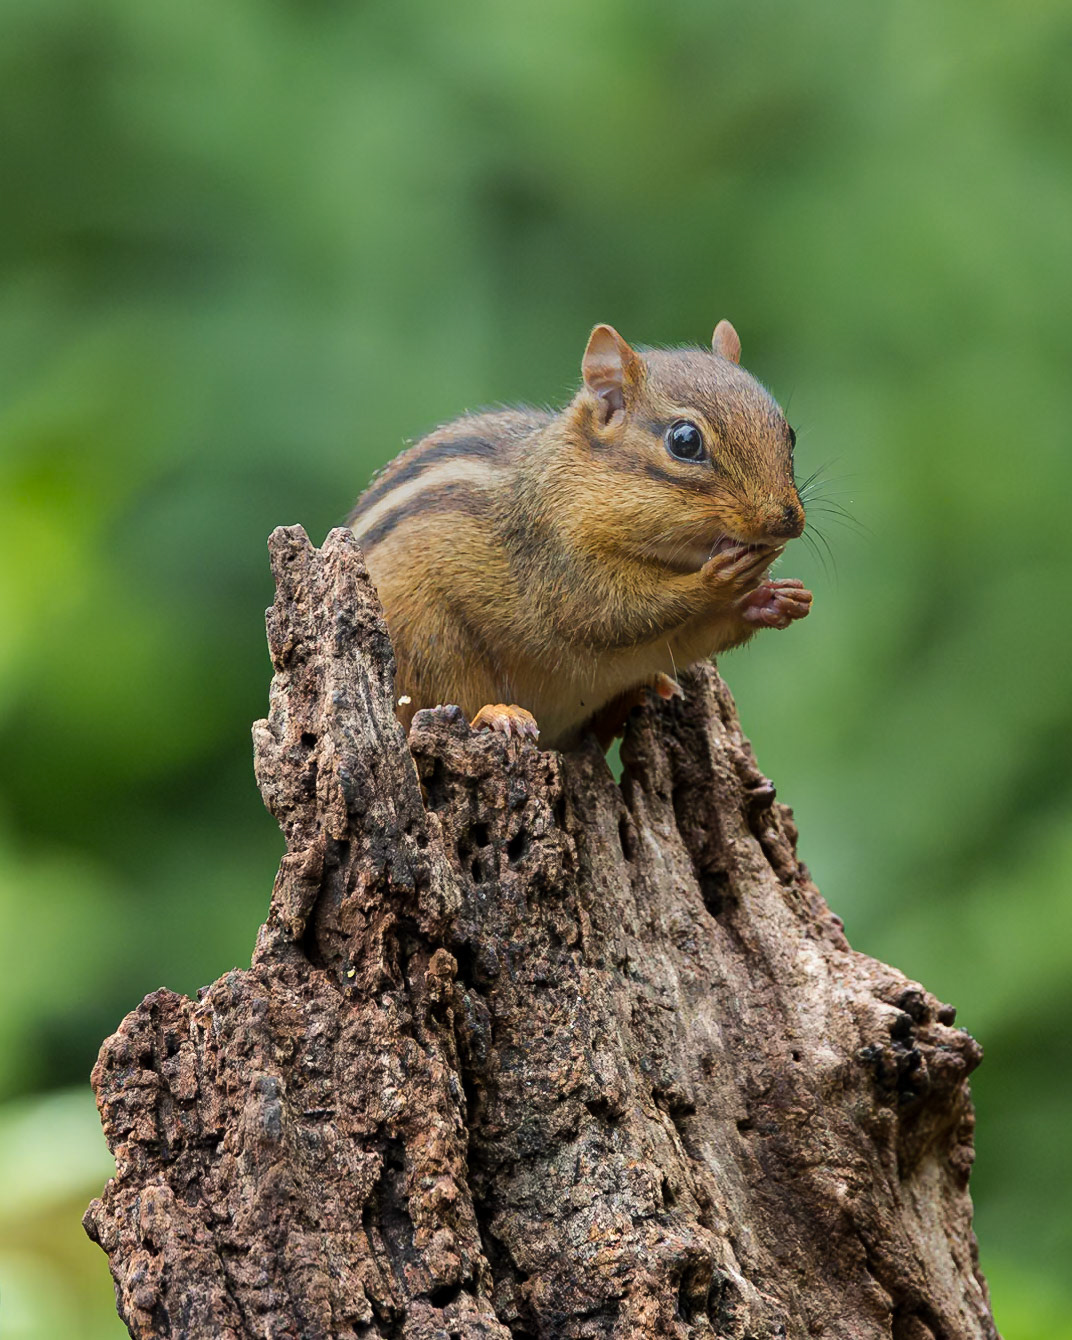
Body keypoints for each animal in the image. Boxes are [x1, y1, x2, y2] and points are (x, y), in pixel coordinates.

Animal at [349, 321, 812, 752]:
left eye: (789, 433)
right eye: (685, 441)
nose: (786, 521)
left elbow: (693, 635)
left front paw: (778, 599)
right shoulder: (556, 558)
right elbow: (607, 612)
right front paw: (718, 579)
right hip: (429, 642)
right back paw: (499, 713)